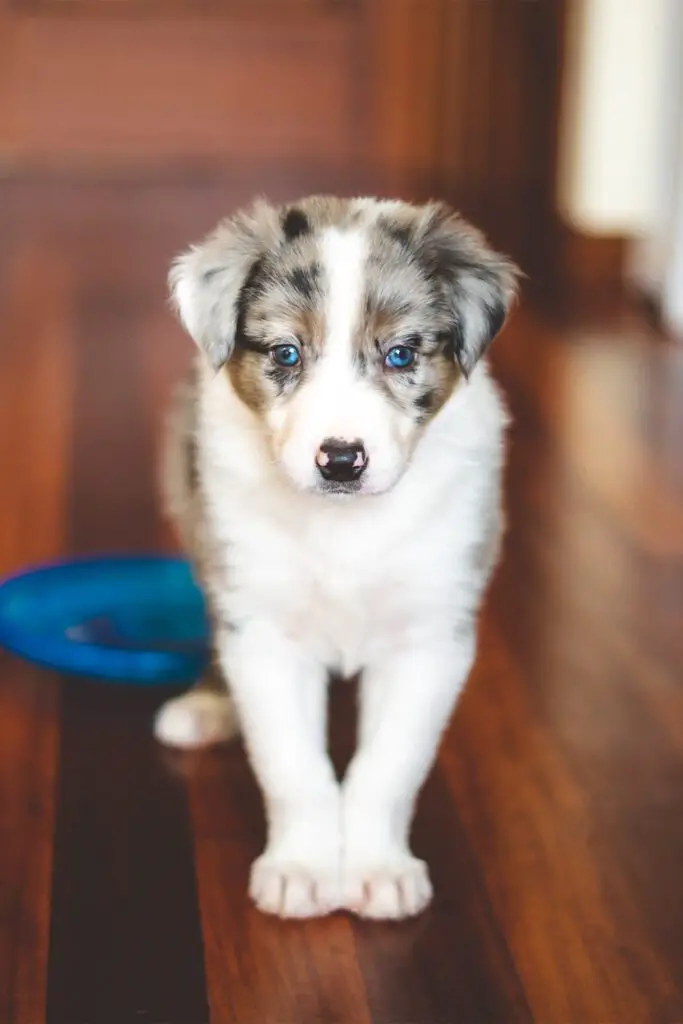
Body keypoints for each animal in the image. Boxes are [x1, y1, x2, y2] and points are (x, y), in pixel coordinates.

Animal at [154, 195, 518, 925]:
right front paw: (301, 869)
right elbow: (294, 767)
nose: (342, 460)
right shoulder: (263, 632)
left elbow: (388, 766)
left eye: (400, 353)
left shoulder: (429, 636)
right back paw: (205, 707)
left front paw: (378, 872)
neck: (346, 528)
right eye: (286, 353)